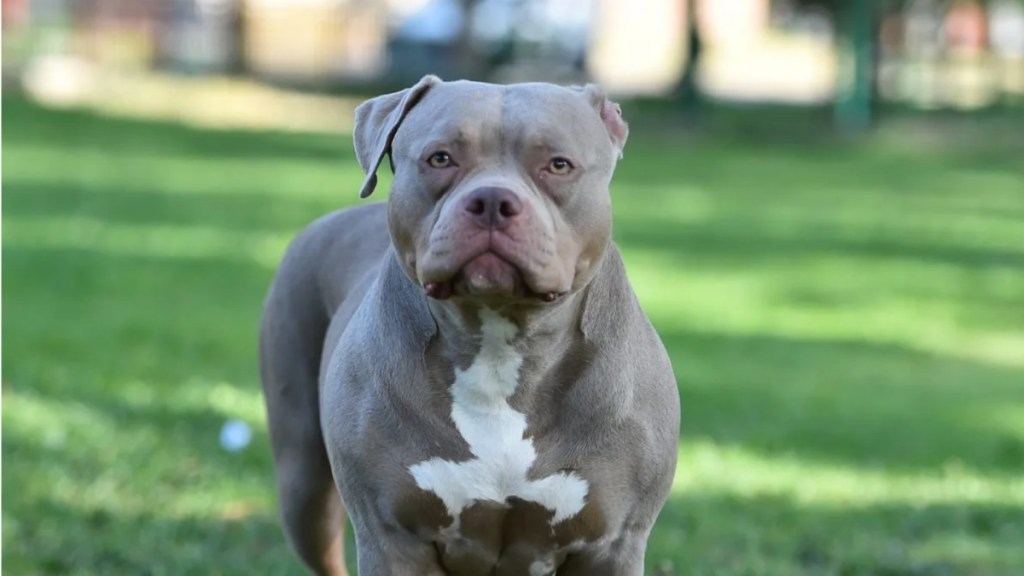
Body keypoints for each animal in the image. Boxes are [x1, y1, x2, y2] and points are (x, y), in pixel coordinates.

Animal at [260, 77, 679, 573]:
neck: (498, 346)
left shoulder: (614, 545)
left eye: (558, 165)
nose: (493, 200)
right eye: (440, 158)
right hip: (303, 486)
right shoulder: (390, 538)